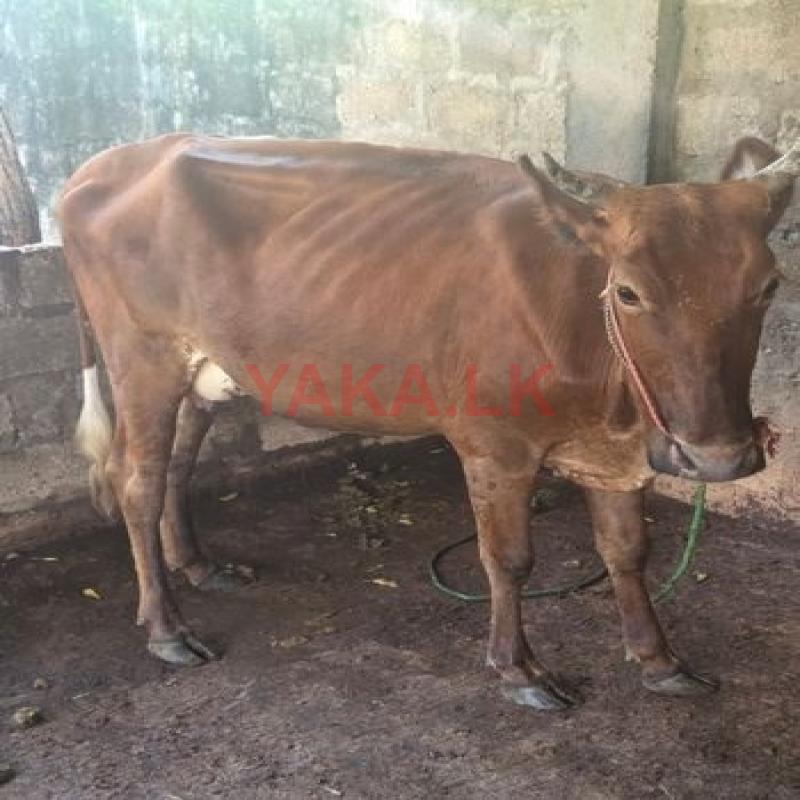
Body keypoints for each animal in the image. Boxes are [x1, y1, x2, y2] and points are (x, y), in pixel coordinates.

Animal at [57, 133, 798, 711]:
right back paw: (167, 630)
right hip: (142, 356)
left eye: (768, 286)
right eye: (628, 292)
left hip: (199, 369)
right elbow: (508, 560)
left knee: (179, 466)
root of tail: (105, 163)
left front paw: (659, 660)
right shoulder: (494, 445)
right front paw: (518, 669)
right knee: (137, 481)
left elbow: (627, 552)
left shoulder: (615, 453)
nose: (719, 459)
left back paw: (200, 567)